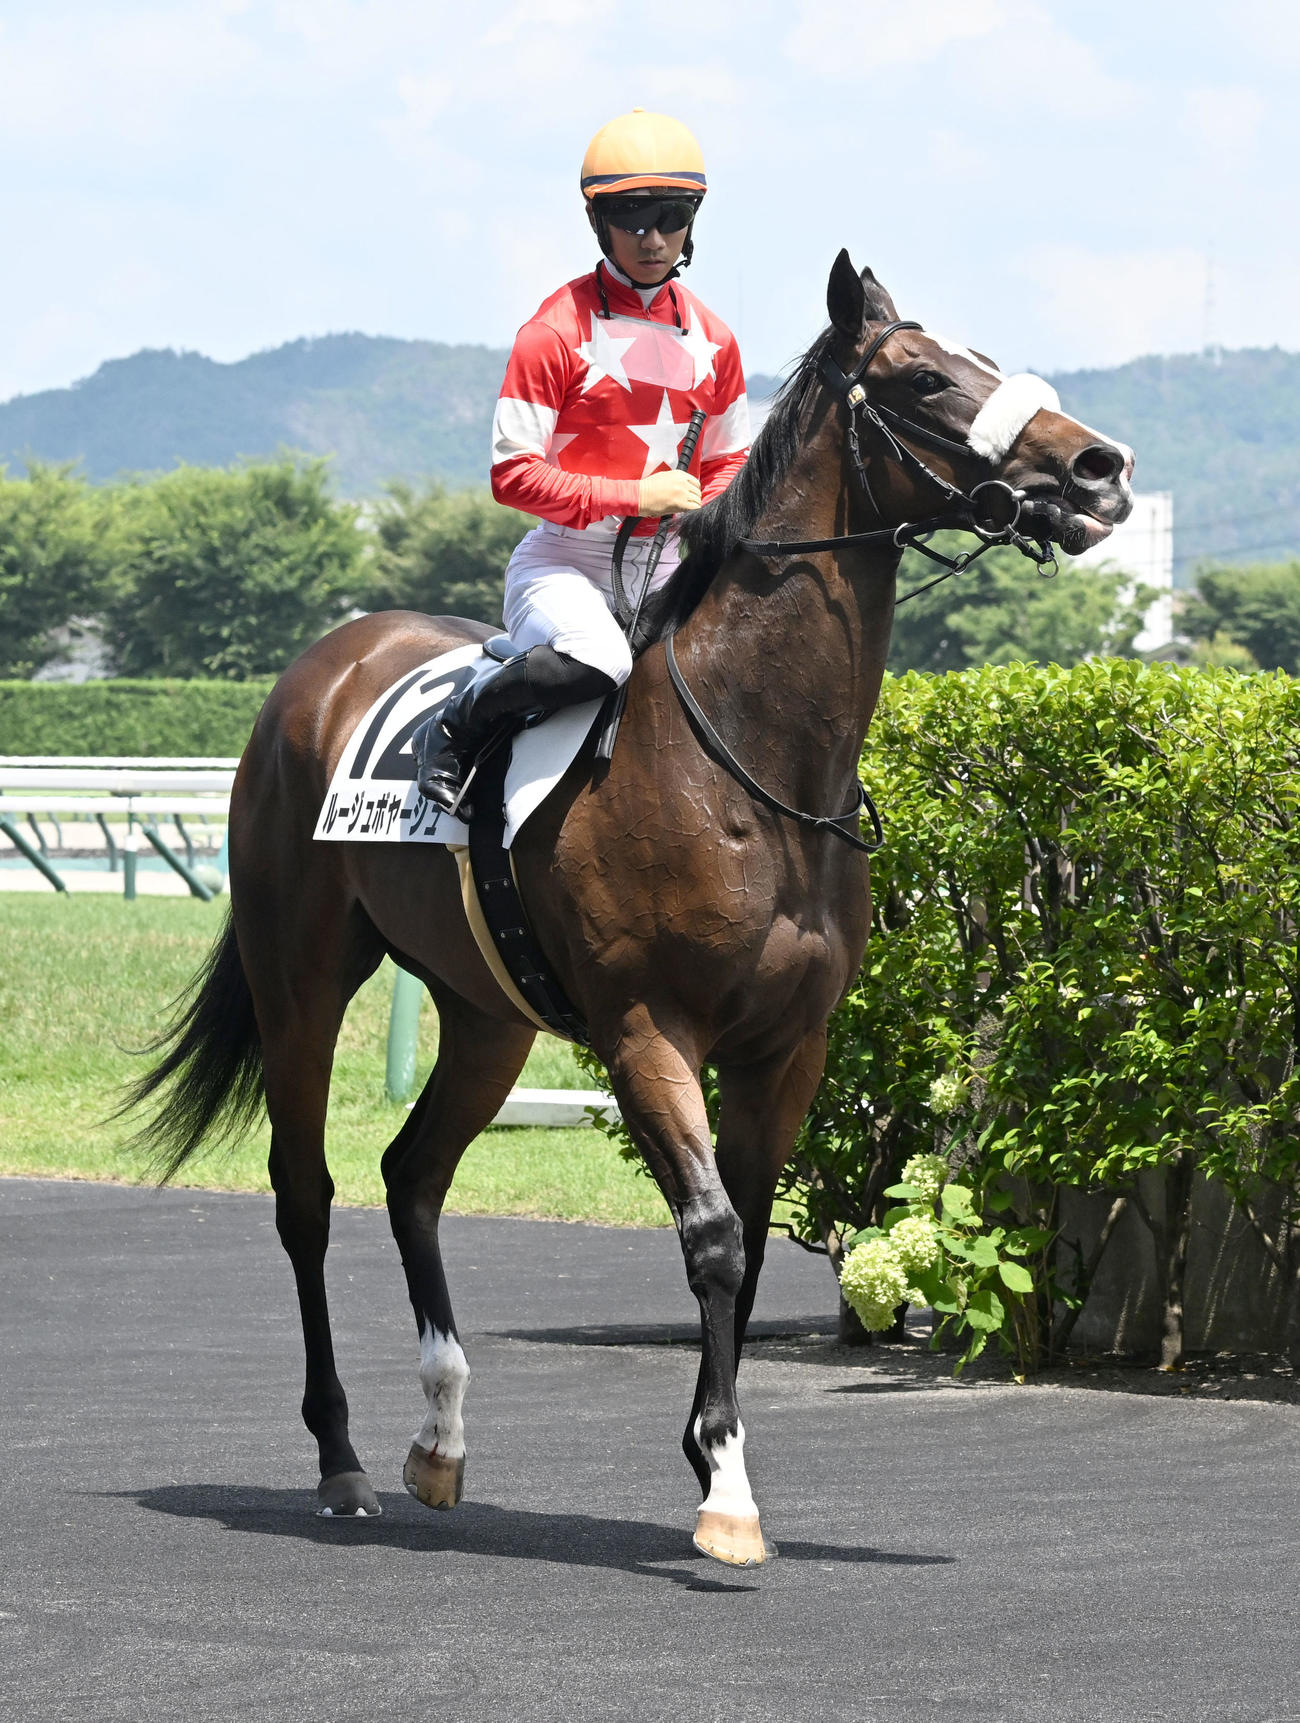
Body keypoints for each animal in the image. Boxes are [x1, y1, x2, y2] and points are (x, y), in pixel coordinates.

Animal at [130, 251, 1133, 1567]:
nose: (1098, 467)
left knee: (412, 1171)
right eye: (921, 378)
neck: (753, 765)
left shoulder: (789, 1045)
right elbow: (709, 1235)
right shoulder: (647, 1027)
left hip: (487, 1014)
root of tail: (328, 658)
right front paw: (724, 1488)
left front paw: (713, 1457)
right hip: (299, 974)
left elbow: (748, 1245)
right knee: (308, 1194)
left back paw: (440, 1439)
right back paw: (341, 1461)